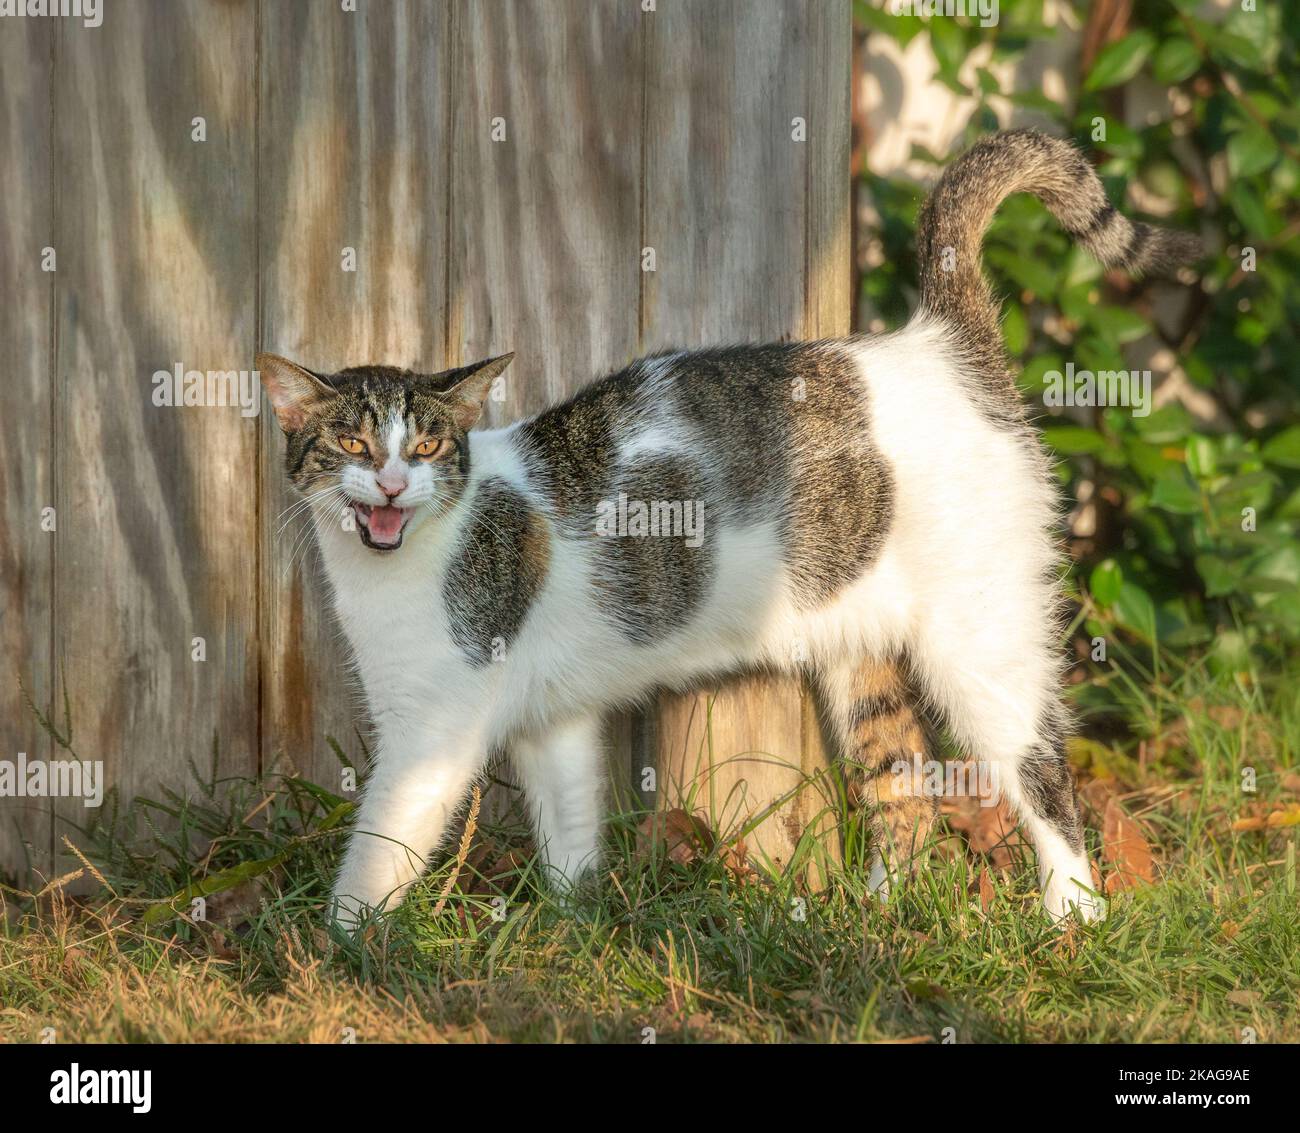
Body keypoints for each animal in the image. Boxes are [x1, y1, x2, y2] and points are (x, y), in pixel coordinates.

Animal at [256, 130, 1196, 930]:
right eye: (350, 442)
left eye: (425, 445)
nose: (390, 480)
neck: (398, 566)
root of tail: (940, 341)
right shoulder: (551, 721)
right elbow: (570, 829)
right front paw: (573, 926)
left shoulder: (432, 732)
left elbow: (379, 847)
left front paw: (339, 948)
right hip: (861, 661)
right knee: (905, 791)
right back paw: (875, 920)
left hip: (982, 643)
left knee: (1044, 775)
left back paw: (1072, 918)